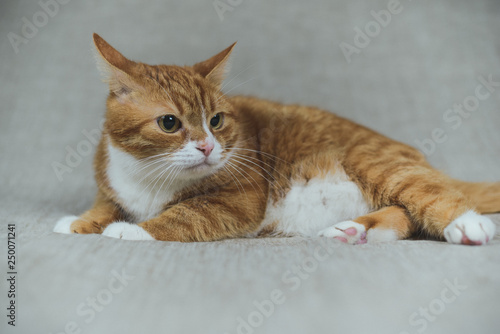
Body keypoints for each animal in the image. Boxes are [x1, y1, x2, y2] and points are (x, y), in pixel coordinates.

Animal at [52, 34, 498, 245]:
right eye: (169, 123)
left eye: (216, 120)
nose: (208, 147)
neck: (150, 177)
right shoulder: (110, 184)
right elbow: (104, 206)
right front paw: (79, 221)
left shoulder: (239, 199)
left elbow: (185, 215)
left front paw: (132, 231)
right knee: (404, 215)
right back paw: (354, 230)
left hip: (378, 164)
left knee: (432, 197)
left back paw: (468, 225)